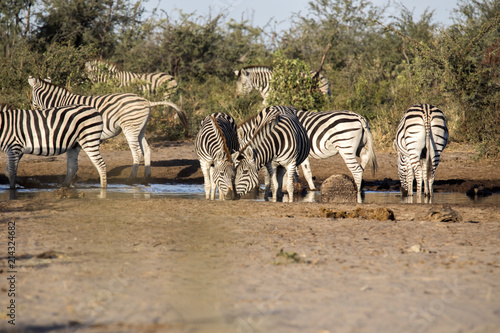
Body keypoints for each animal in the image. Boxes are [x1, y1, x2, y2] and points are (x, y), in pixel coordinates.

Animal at [29, 75, 188, 182]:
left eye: (32, 99)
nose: (33, 110)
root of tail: (147, 101)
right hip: (140, 128)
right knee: (147, 149)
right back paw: (146, 177)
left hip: (130, 127)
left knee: (137, 152)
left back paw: (131, 179)